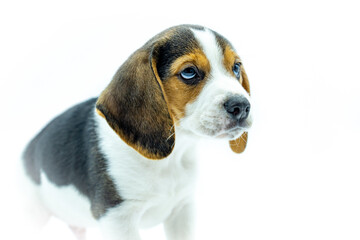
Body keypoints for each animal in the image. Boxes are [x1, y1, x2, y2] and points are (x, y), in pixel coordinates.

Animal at [23, 24, 253, 240]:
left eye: (236, 68)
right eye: (189, 72)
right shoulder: (117, 217)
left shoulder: (182, 209)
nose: (242, 106)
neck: (170, 159)